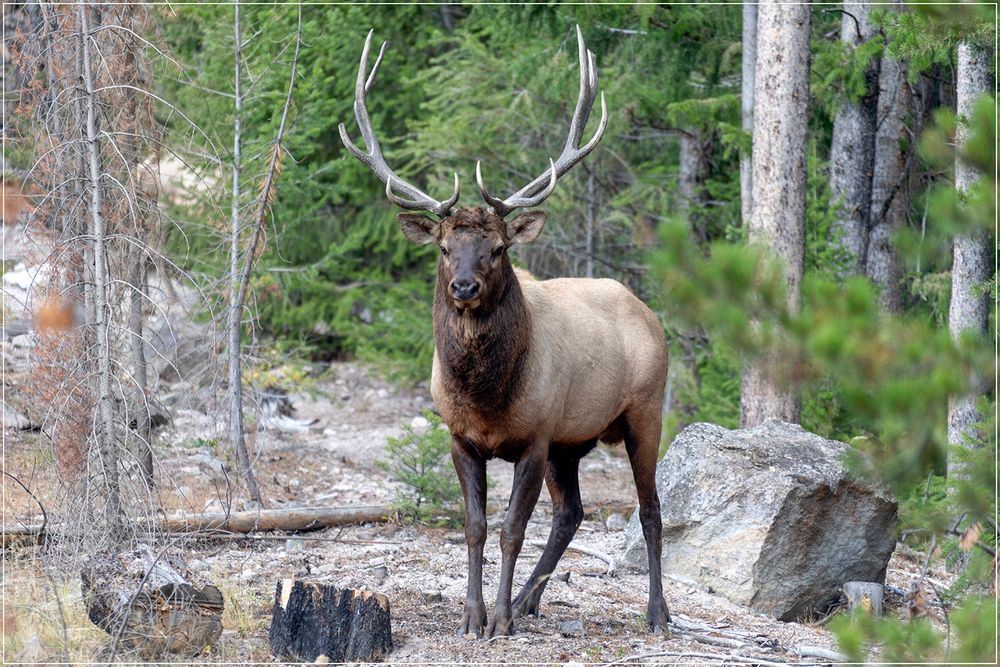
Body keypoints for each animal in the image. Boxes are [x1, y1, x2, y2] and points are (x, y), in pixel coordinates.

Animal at [338, 27, 672, 640]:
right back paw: (527, 602)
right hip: (573, 440)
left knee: (649, 510)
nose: (465, 287)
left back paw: (656, 614)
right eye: (445, 247)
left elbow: (511, 529)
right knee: (572, 514)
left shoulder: (535, 437)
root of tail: (648, 313)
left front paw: (495, 622)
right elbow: (473, 526)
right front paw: (473, 617)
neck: (487, 396)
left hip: (643, 412)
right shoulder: (461, 437)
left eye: (497, 248)